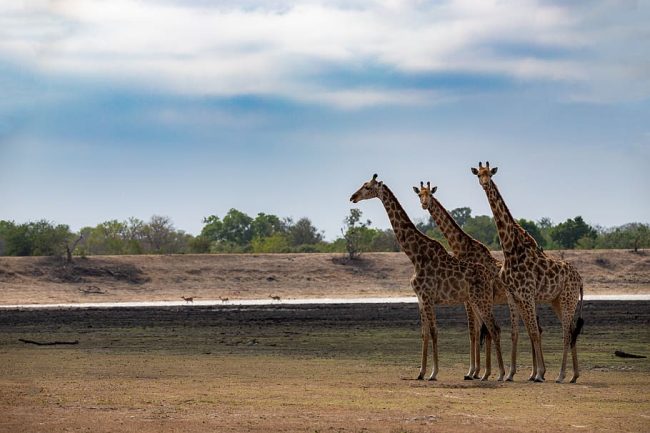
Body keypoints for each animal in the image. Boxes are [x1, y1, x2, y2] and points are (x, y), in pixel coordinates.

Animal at [350, 174, 505, 381]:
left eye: (367, 187)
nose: (353, 197)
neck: (415, 255)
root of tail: (489, 276)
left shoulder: (428, 297)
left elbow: (434, 332)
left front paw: (433, 373)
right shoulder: (420, 299)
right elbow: (424, 333)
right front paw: (421, 372)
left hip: (482, 300)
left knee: (493, 329)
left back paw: (501, 374)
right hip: (478, 300)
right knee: (489, 329)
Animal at [413, 181, 521, 381]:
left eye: (430, 194)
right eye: (419, 195)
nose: (424, 204)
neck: (461, 247)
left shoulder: (469, 299)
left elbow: (475, 331)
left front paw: (476, 372)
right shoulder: (470, 299)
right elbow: (477, 331)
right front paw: (476, 371)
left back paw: (513, 373)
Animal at [471, 161, 584, 383]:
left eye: (489, 173)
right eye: (478, 174)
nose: (485, 183)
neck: (510, 249)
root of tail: (581, 280)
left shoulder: (527, 294)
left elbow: (533, 331)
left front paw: (539, 373)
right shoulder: (513, 295)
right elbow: (516, 333)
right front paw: (510, 374)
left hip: (568, 298)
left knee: (566, 332)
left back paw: (561, 375)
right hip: (556, 300)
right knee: (571, 329)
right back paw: (574, 375)